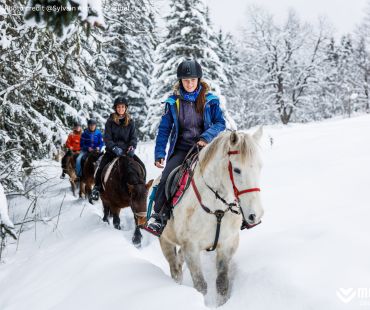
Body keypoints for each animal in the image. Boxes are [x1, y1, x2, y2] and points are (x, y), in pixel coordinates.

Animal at [159, 128, 264, 306]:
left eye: (259, 167)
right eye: (237, 170)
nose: (255, 214)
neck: (217, 209)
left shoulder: (227, 245)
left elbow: (222, 283)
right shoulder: (191, 248)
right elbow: (200, 285)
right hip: (165, 241)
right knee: (175, 269)